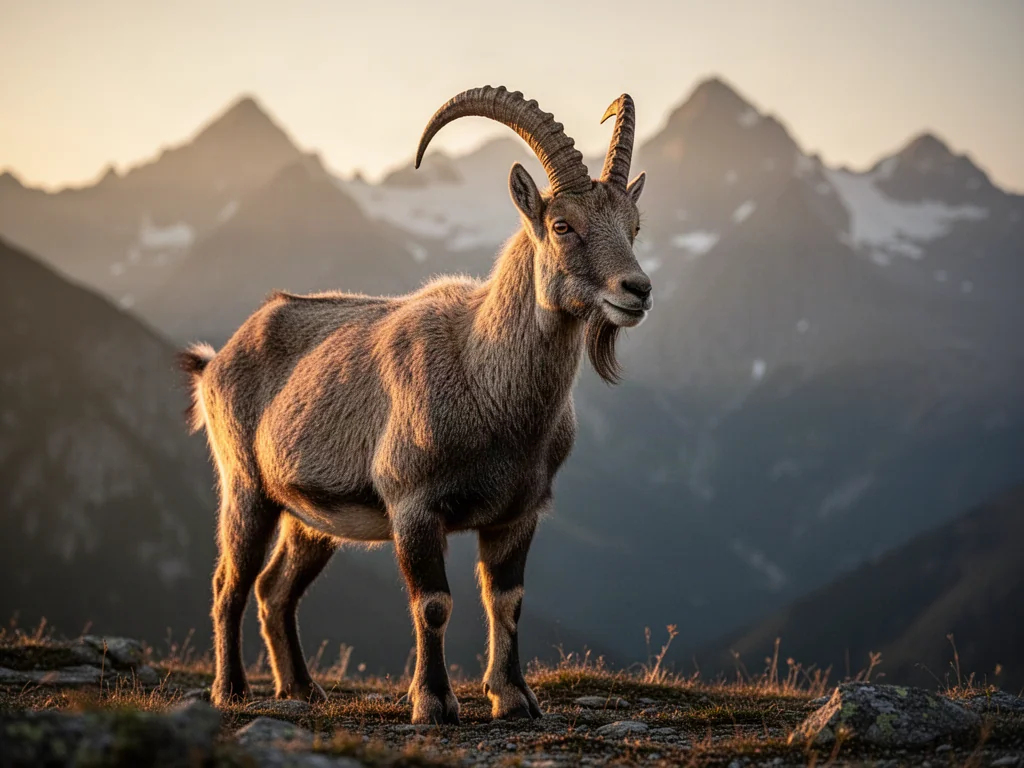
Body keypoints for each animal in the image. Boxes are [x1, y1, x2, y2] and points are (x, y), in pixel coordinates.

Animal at [179, 86, 652, 724]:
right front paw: (432, 701)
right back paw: (230, 690)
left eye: (634, 225)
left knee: (275, 590)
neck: (490, 389)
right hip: (246, 488)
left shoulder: (518, 514)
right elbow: (433, 603)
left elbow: (508, 601)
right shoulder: (414, 507)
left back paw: (302, 688)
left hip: (312, 520)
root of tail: (215, 360)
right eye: (562, 225)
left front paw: (514, 697)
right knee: (229, 583)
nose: (637, 290)